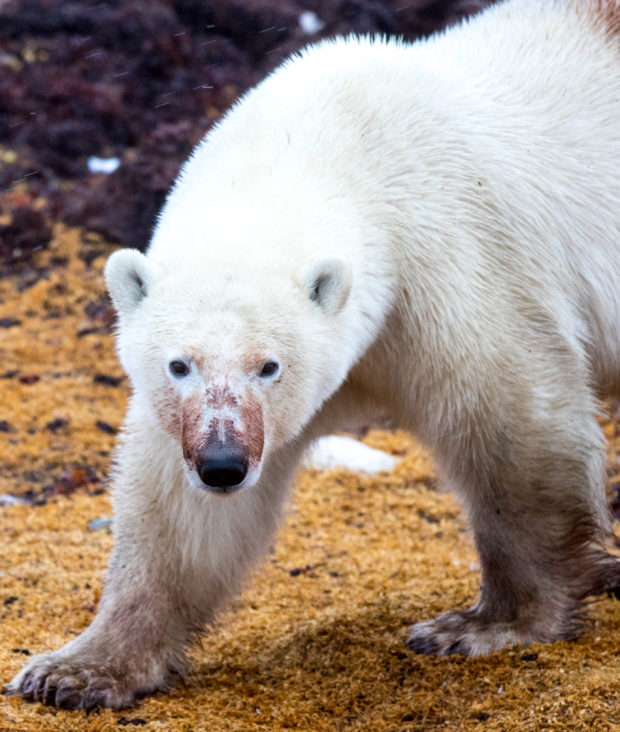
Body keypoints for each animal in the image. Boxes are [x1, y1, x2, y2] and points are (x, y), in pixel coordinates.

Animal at [6, 0, 620, 711]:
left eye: (268, 365)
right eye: (179, 365)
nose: (223, 465)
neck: (337, 143)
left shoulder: (455, 263)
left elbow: (513, 427)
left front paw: (483, 626)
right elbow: (175, 514)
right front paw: (74, 670)